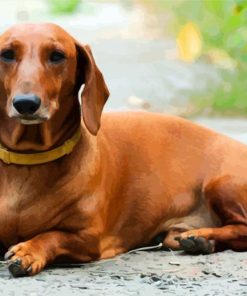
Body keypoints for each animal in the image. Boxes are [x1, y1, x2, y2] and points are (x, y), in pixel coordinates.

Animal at [0, 23, 246, 278]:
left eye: (57, 56)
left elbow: (52, 236)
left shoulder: (89, 239)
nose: (26, 103)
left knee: (242, 229)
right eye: (7, 54)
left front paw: (29, 250)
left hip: (221, 184)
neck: (28, 162)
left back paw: (201, 236)